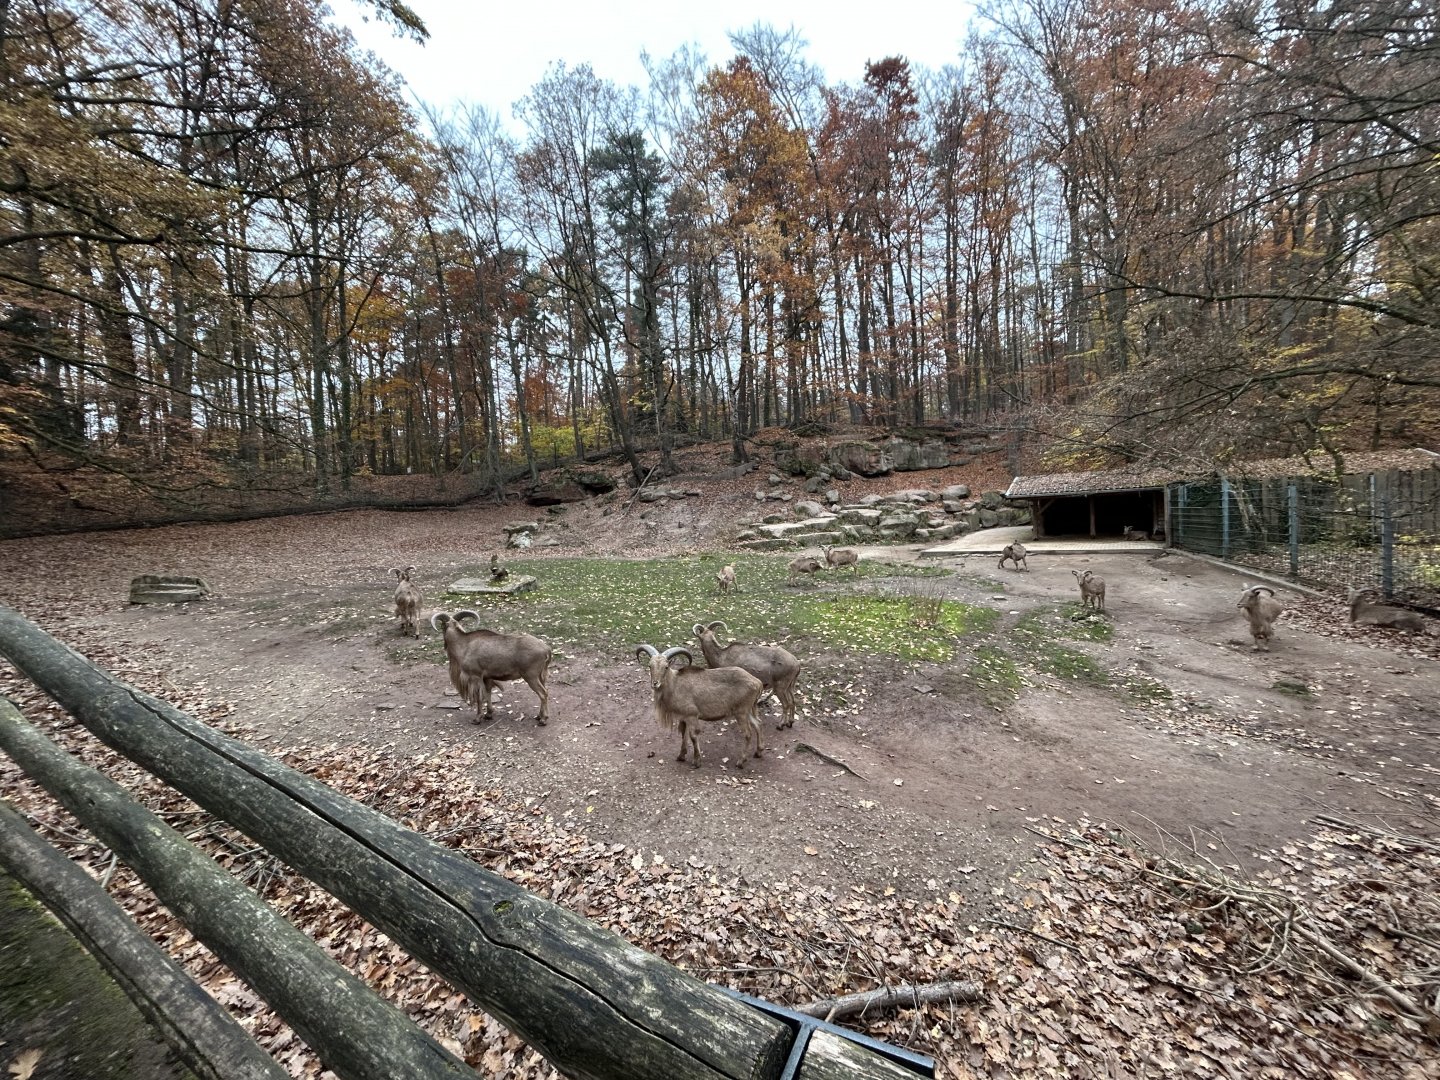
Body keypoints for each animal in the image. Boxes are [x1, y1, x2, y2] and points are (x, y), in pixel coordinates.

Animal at [635, 644, 764, 768]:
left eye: (666, 667)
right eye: (650, 666)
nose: (655, 683)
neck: (675, 684)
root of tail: (757, 682)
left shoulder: (692, 715)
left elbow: (693, 735)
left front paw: (696, 761)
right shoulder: (684, 717)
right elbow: (684, 734)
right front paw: (681, 756)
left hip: (741, 712)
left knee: (748, 733)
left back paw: (741, 762)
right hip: (748, 711)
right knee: (757, 724)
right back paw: (758, 752)